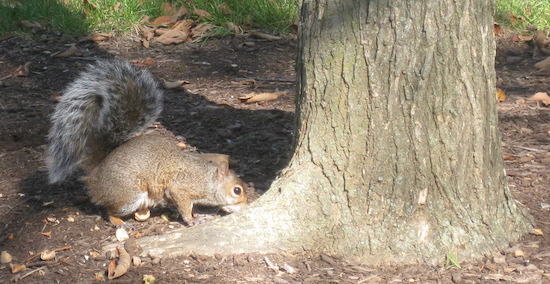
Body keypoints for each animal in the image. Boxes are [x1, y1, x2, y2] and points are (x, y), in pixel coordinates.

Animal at [46, 60, 249, 226]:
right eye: (237, 190)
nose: (246, 206)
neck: (208, 180)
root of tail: (95, 174)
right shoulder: (180, 187)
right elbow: (184, 205)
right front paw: (191, 219)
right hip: (128, 196)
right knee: (109, 209)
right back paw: (118, 221)